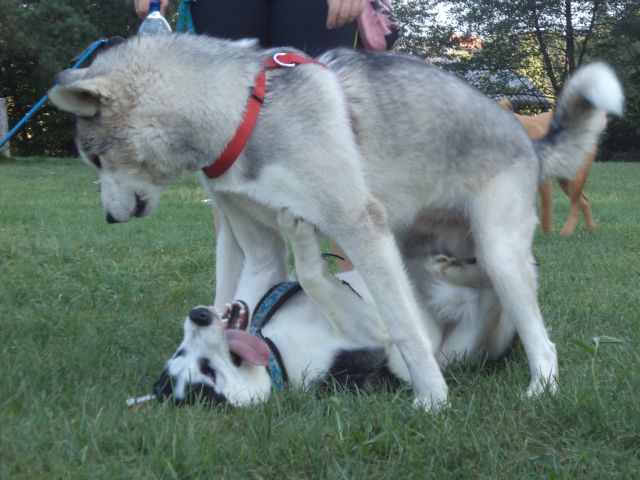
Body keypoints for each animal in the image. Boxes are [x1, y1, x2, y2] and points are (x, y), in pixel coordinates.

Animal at [152, 210, 516, 404]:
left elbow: (261, 250)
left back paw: (454, 267)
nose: (198, 316)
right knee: (489, 294)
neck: (273, 350)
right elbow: (312, 276)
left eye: (181, 352)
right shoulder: (370, 334)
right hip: (465, 346)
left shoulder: (261, 276)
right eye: (209, 372)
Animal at [500, 100, 600, 235]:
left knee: (576, 204)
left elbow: (545, 211)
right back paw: (591, 229)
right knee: (584, 200)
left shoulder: (544, 184)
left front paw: (549, 234)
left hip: (575, 177)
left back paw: (567, 231)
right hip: (565, 181)